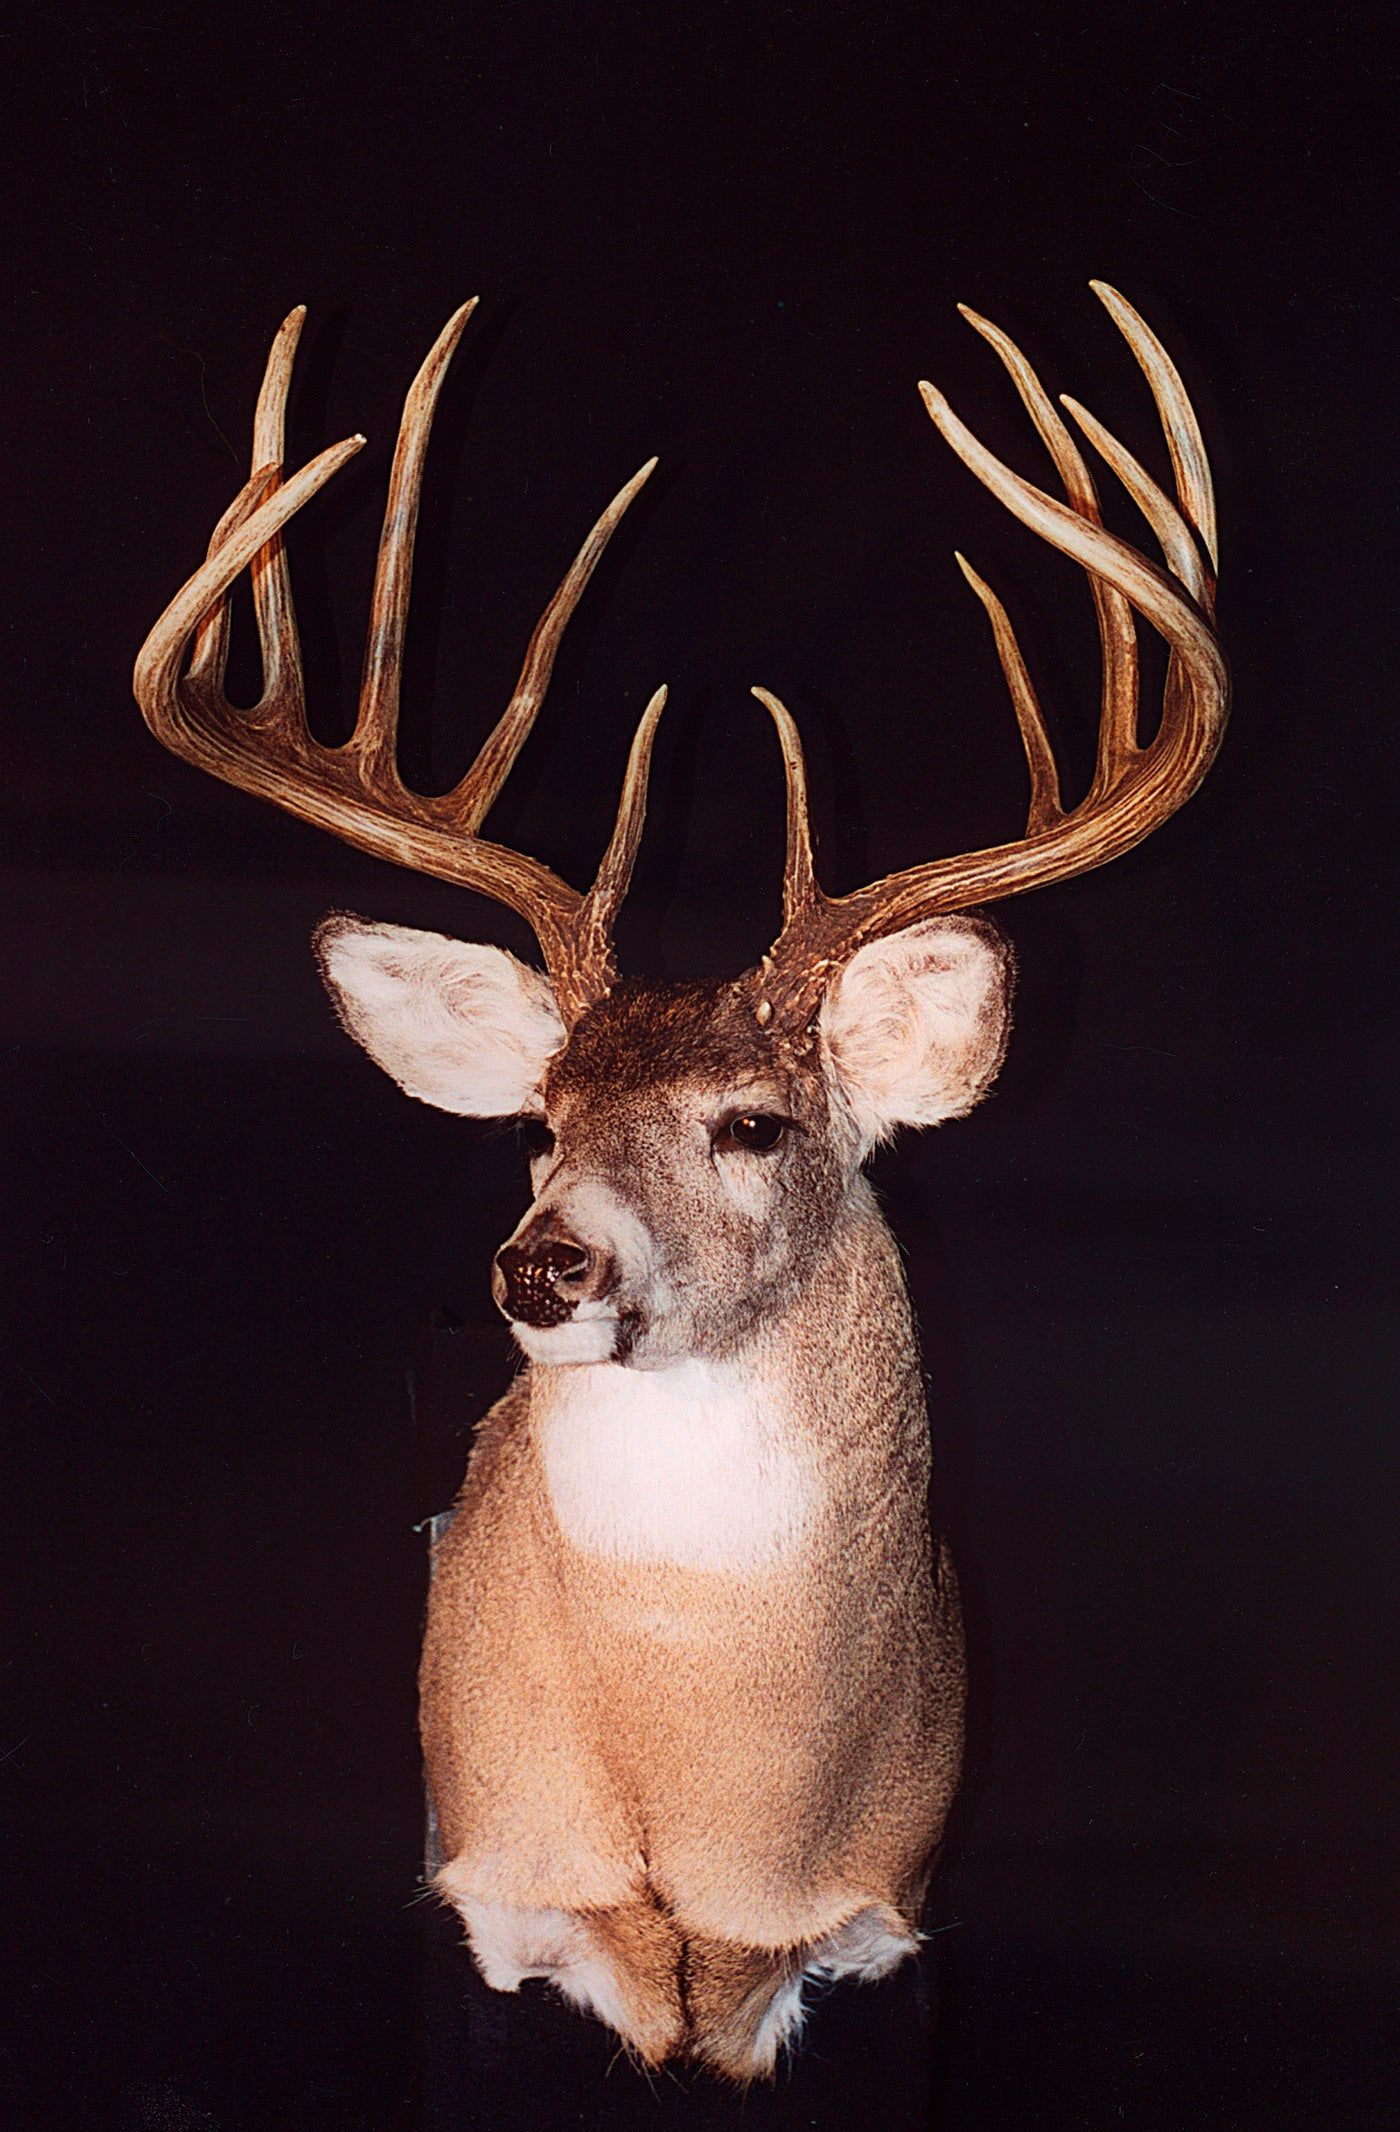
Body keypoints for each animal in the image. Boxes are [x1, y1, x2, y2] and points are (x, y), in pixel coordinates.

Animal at [132, 284, 1226, 2081]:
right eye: (537, 1122)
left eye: (755, 1126)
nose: (541, 1266)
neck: (707, 1816)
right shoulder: (491, 1895)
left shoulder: (884, 1923)